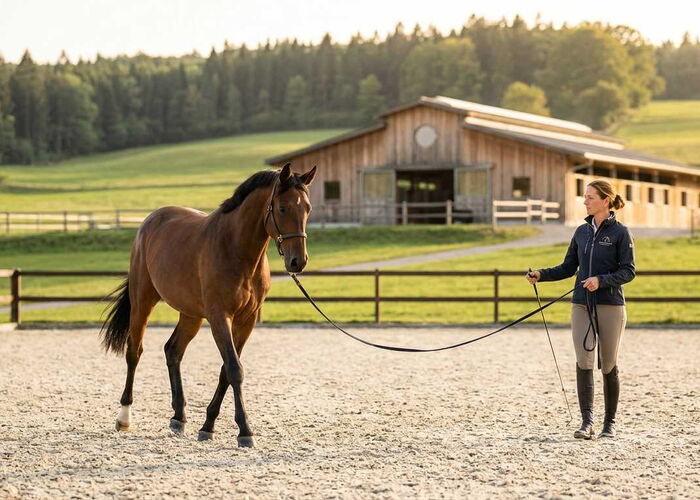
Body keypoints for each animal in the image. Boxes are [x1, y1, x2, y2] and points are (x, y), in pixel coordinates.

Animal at [100, 163, 316, 447]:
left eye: (307, 208)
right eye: (282, 208)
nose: (297, 261)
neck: (236, 249)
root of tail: (150, 220)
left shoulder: (246, 320)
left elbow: (227, 369)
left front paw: (208, 425)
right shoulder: (219, 316)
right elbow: (234, 369)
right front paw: (244, 431)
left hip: (190, 314)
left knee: (173, 351)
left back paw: (178, 417)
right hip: (142, 301)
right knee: (134, 351)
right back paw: (124, 417)